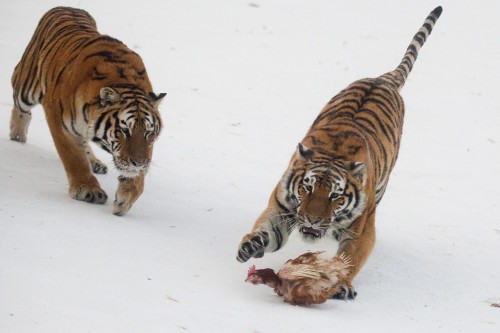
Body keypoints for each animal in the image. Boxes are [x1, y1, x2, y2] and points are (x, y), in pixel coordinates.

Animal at [9, 7, 166, 217]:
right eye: (125, 130)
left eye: (149, 133)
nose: (138, 163)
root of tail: (68, 7)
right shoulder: (58, 119)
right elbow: (74, 158)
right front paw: (87, 189)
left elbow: (138, 178)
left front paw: (125, 198)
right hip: (26, 87)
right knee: (20, 106)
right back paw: (17, 135)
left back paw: (96, 163)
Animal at [236, 6, 444, 298]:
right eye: (307, 188)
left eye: (335, 196)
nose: (312, 220)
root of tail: (383, 79)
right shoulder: (281, 208)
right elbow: (266, 228)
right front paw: (252, 243)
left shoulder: (361, 230)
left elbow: (350, 259)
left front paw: (341, 284)